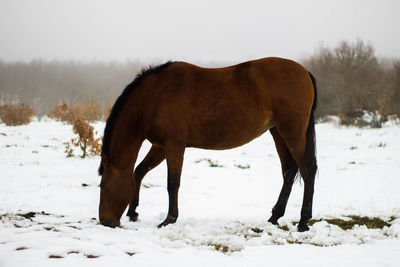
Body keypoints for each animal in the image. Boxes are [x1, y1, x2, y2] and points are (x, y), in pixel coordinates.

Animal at [98, 57, 318, 232]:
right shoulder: (160, 147)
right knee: (288, 171)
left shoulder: (173, 146)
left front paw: (169, 219)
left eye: (104, 187)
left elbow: (173, 182)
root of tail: (305, 72)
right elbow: (139, 171)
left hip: (293, 133)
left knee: (308, 170)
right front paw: (133, 212)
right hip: (278, 133)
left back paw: (303, 222)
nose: (105, 221)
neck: (154, 97)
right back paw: (274, 216)